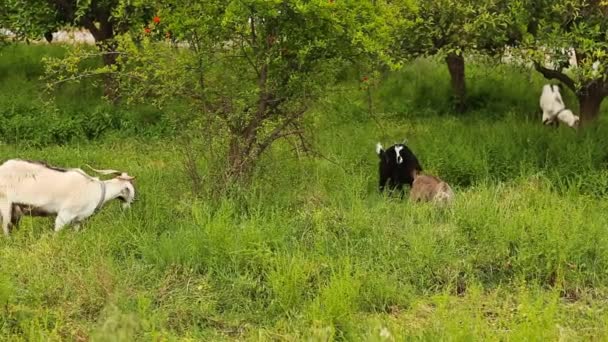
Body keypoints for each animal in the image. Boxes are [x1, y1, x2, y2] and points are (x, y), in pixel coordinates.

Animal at [0, 160, 135, 235]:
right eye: (131, 190)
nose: (130, 206)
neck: (96, 190)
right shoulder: (63, 216)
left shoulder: (77, 220)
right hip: (5, 205)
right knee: (6, 228)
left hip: (16, 210)